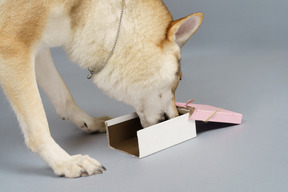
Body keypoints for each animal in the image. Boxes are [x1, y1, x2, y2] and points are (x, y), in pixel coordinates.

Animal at [0, 0, 202, 178]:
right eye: (179, 78)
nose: (174, 119)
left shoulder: (39, 49)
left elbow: (63, 97)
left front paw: (89, 122)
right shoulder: (14, 49)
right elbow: (38, 125)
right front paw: (65, 162)